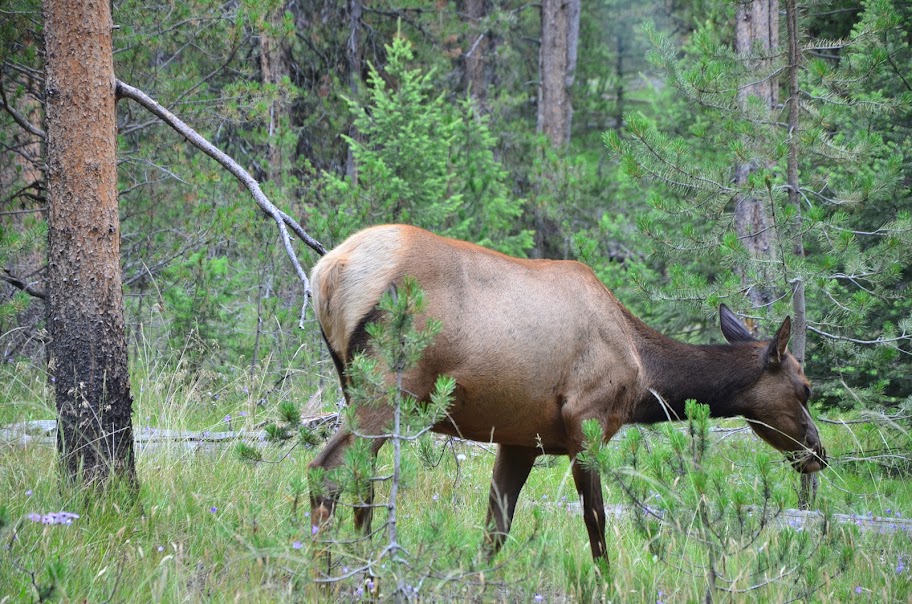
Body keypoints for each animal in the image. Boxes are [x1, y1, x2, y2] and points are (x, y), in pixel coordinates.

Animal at [306, 223, 828, 560]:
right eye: (804, 388)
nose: (818, 452)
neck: (644, 377)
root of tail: (330, 272)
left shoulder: (519, 439)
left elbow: (494, 533)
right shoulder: (587, 419)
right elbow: (596, 523)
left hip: (355, 388)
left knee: (361, 483)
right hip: (385, 388)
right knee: (324, 471)